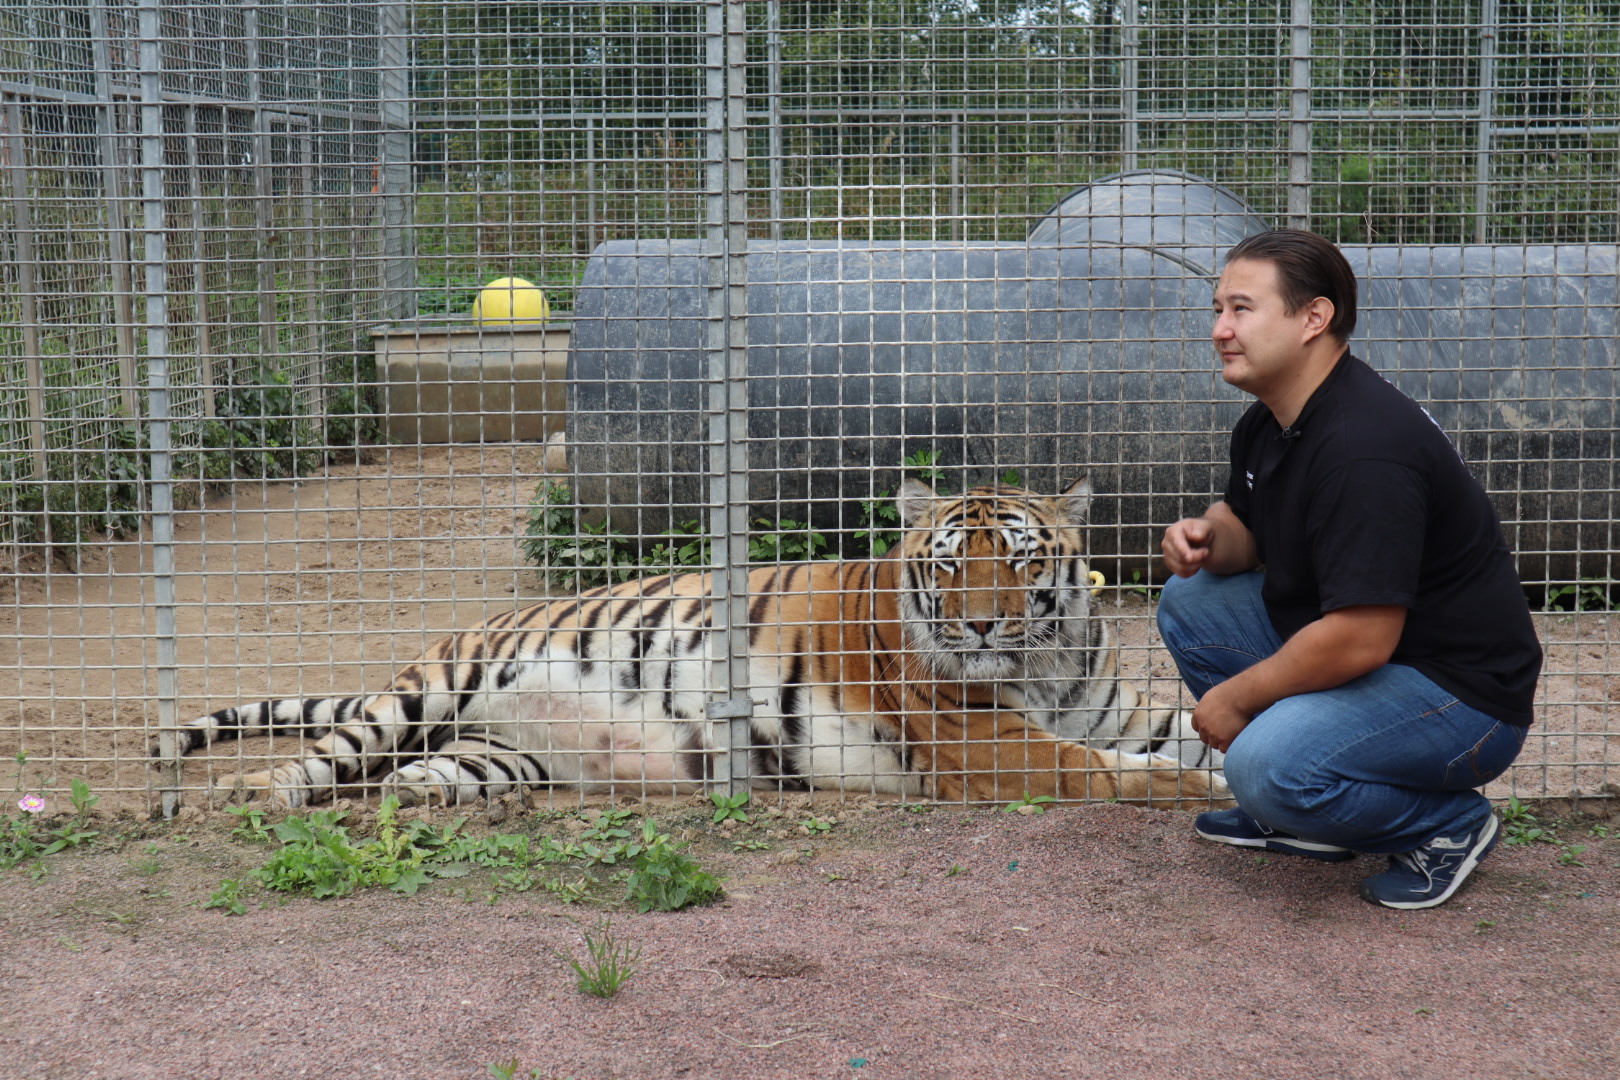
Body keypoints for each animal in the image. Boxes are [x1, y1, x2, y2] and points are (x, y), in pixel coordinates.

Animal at [161, 476, 1224, 806]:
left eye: (1019, 559)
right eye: (953, 565)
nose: (982, 623)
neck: (1044, 663)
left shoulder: (1116, 710)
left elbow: (1190, 733)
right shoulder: (999, 750)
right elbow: (1129, 776)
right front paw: (1207, 794)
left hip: (491, 754)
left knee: (415, 780)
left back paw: (421, 806)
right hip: (420, 693)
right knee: (319, 757)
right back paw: (250, 791)